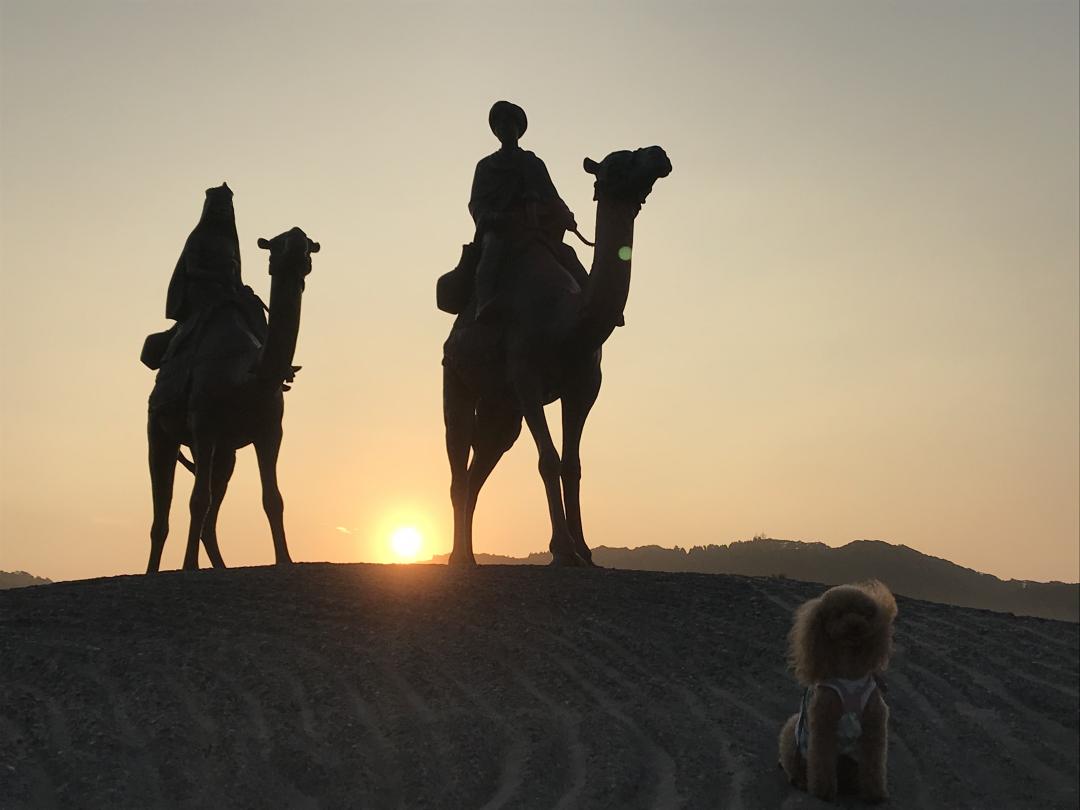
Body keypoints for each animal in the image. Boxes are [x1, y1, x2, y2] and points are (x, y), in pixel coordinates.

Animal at [145, 225, 317, 574]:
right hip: (158, 429)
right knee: (163, 509)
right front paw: (188, 567)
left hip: (226, 454)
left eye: (309, 247)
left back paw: (220, 566)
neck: (246, 374)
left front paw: (285, 560)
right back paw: (152, 571)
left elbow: (273, 498)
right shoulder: (203, 425)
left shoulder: (270, 430)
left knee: (211, 511)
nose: (295, 242)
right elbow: (198, 499)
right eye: (274, 245)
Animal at [442, 144, 669, 565]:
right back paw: (459, 559)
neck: (567, 320)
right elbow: (547, 460)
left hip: (502, 412)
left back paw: (468, 555)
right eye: (619, 163)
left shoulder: (584, 386)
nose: (658, 154)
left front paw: (585, 552)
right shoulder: (526, 377)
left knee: (479, 469)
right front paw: (562, 550)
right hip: (456, 380)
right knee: (457, 459)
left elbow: (572, 465)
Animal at [781, 578, 898, 803]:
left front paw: (875, 794)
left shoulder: (874, 724)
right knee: (796, 765)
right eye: (839, 613)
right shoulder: (823, 723)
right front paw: (823, 791)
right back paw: (801, 782)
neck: (850, 673)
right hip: (793, 732)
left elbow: (874, 764)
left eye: (865, 613)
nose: (855, 625)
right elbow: (822, 760)